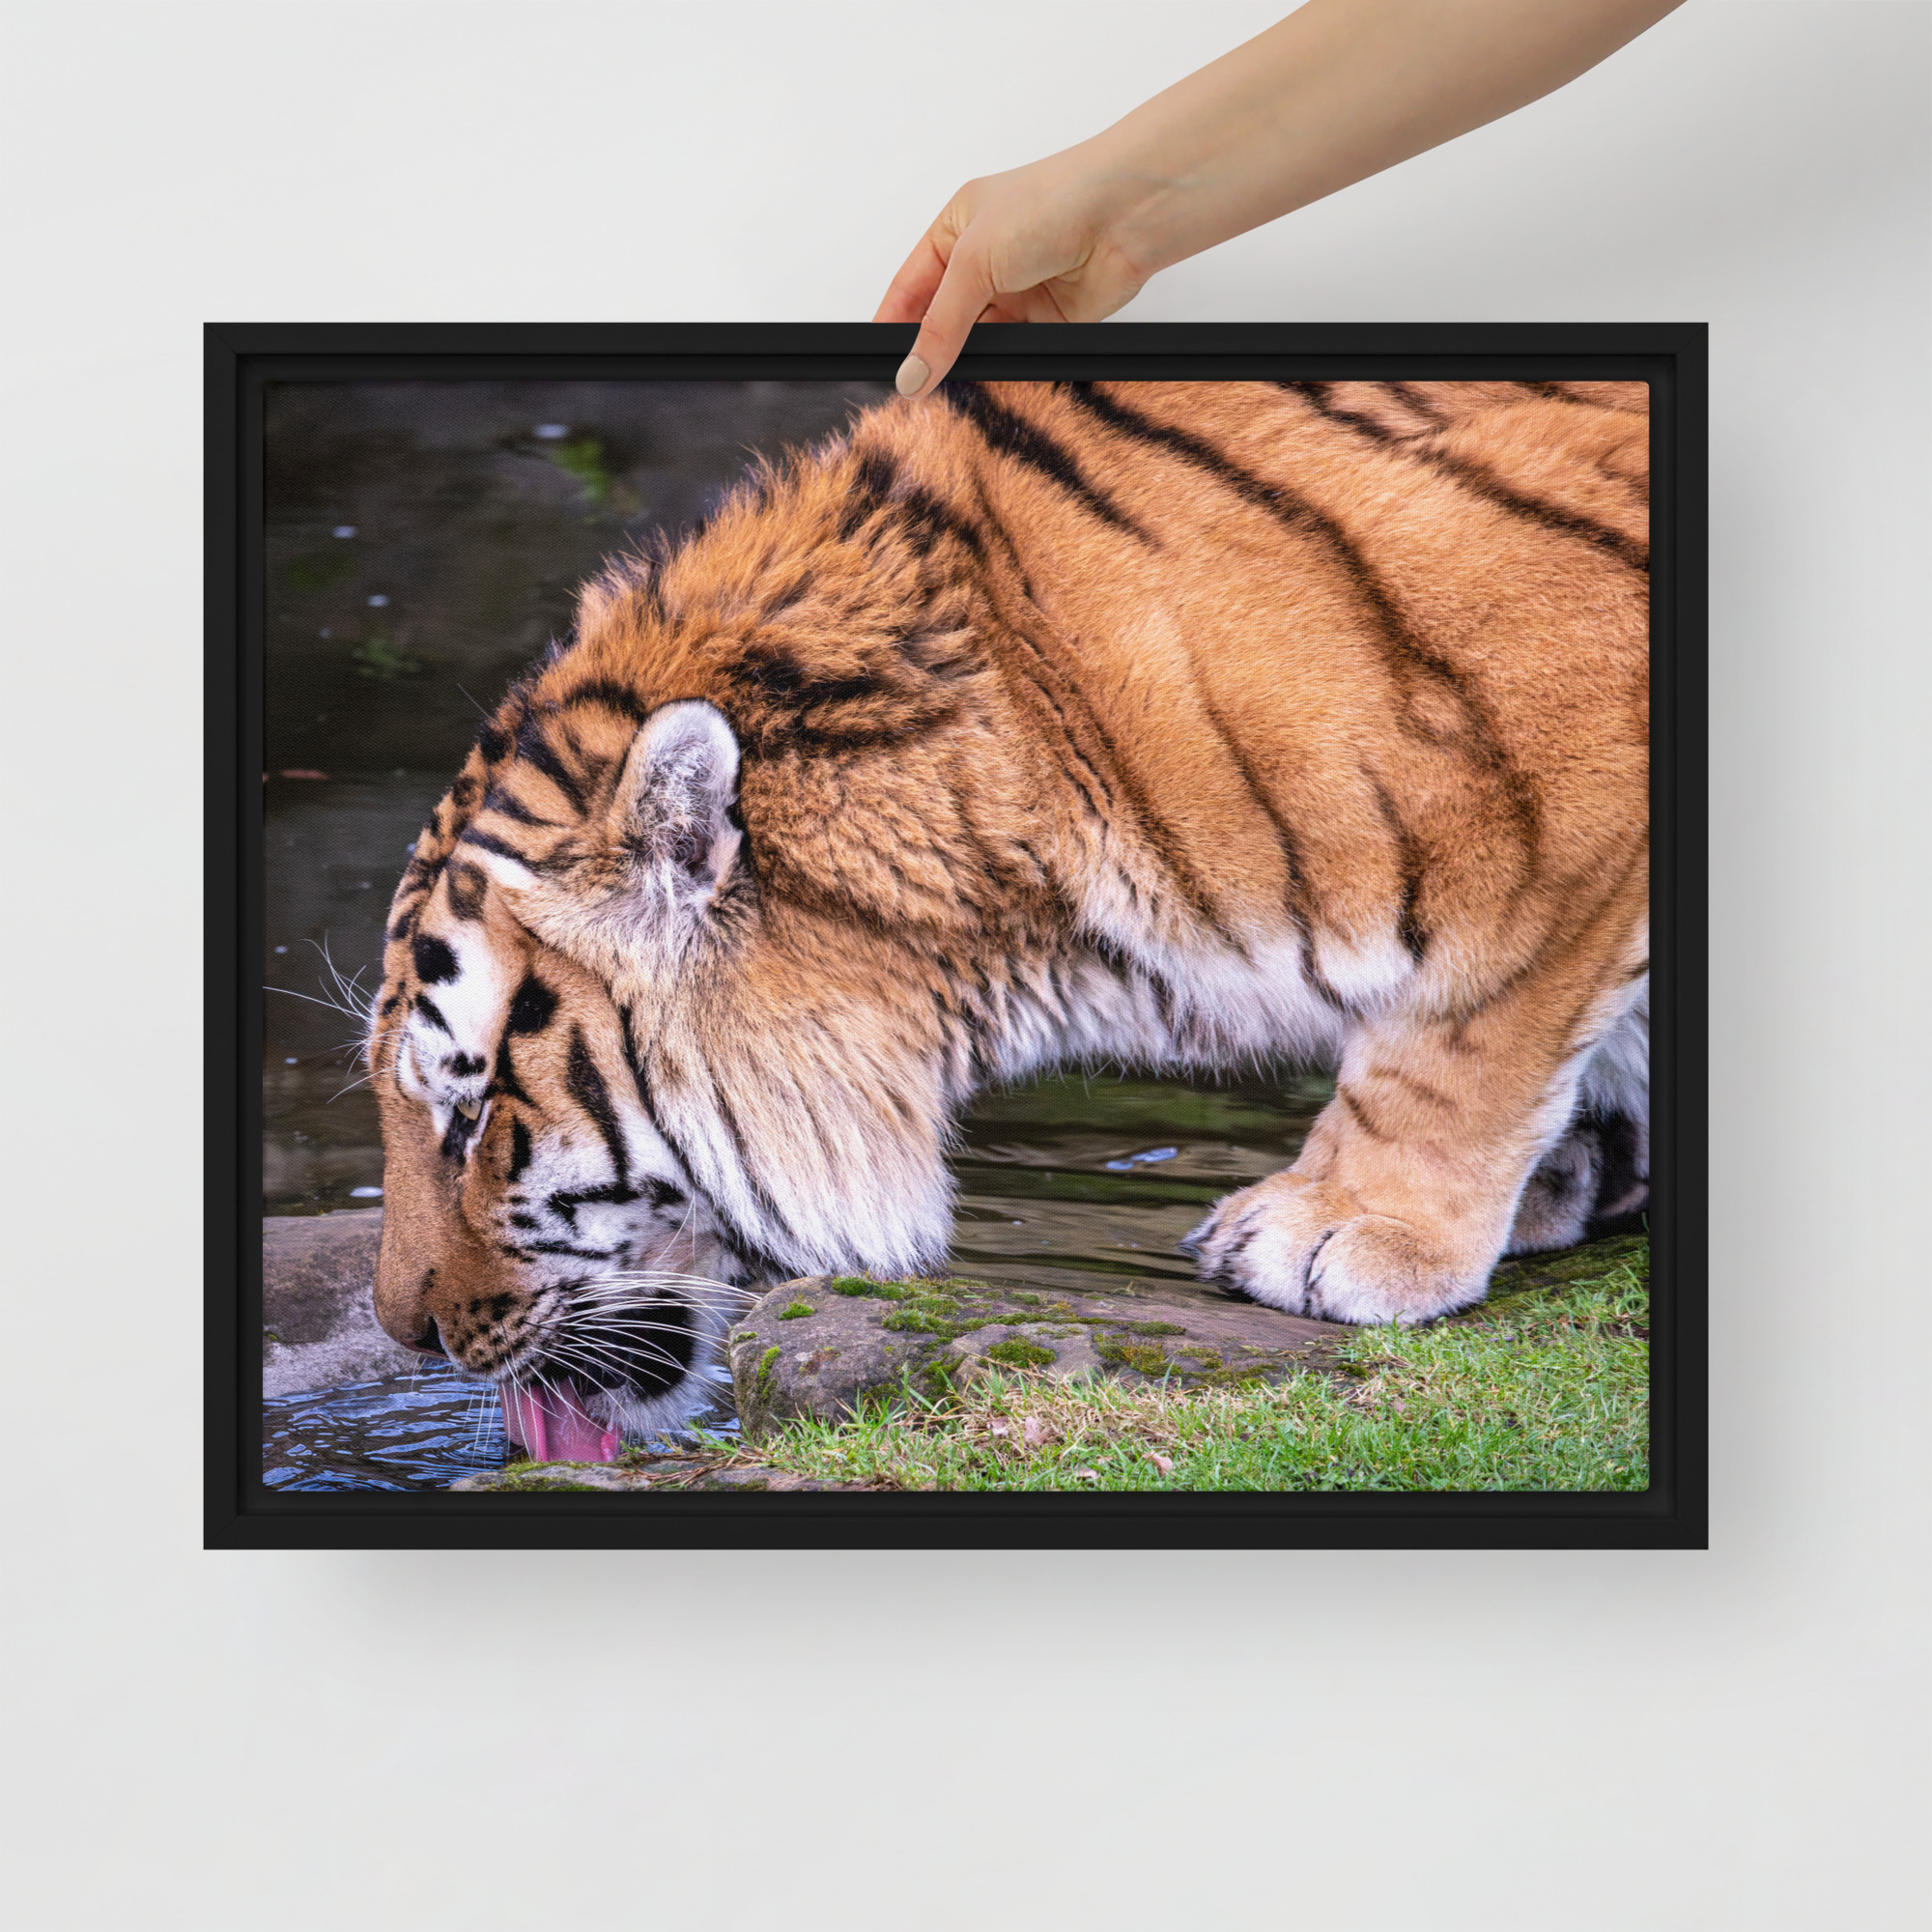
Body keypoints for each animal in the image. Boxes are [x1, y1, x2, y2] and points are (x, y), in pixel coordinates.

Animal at [365, 376, 1650, 1446]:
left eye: (471, 1116)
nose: (402, 1334)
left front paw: (1343, 1229)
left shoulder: (1560, 785)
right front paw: (1566, 1172)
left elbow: (1466, 1019)